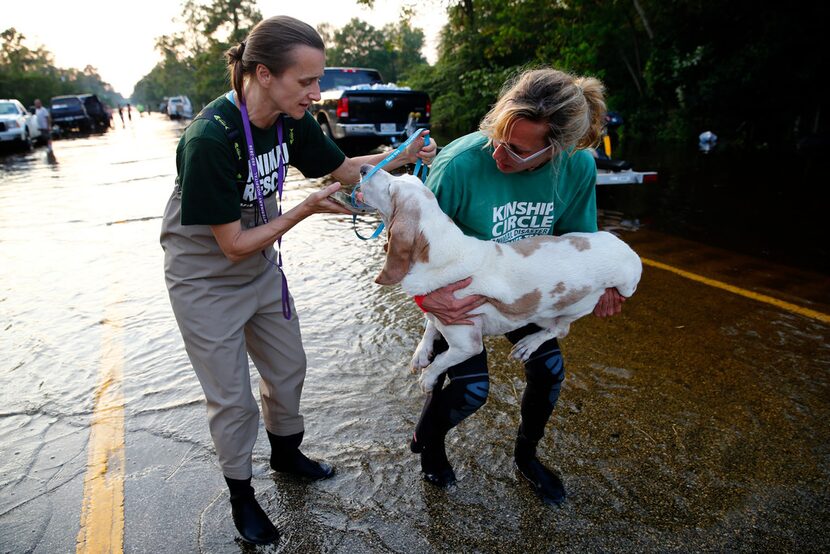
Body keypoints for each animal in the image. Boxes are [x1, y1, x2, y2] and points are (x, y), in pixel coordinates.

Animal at [360, 166, 644, 390]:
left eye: (391, 189)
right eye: (404, 176)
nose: (363, 167)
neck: (444, 250)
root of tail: (629, 254)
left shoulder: (467, 345)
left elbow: (440, 361)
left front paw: (427, 378)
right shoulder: (439, 310)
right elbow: (430, 326)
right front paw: (421, 354)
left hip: (571, 309)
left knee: (560, 330)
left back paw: (529, 344)